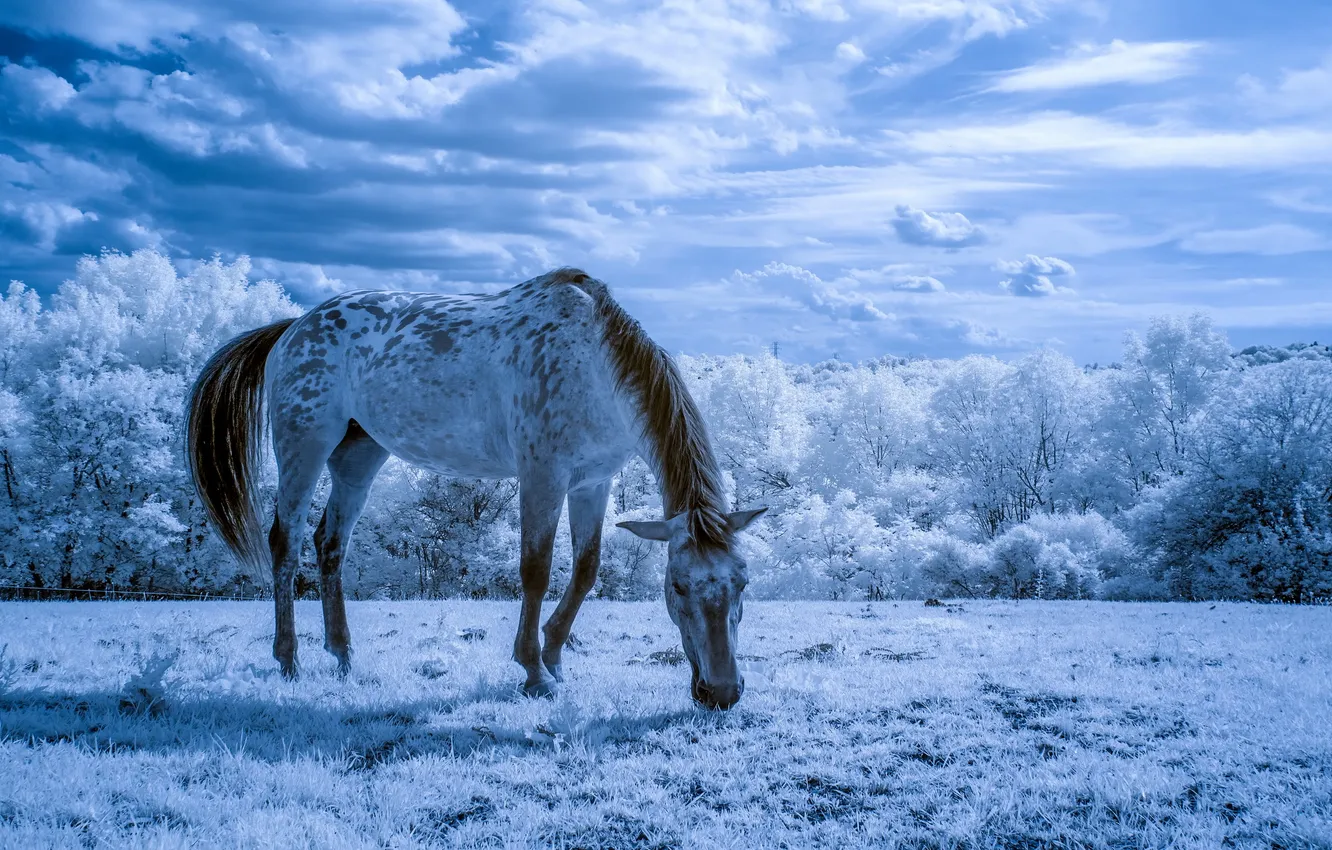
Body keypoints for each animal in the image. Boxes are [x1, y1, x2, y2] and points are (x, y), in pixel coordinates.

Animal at [186, 267, 766, 709]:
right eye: (678, 587)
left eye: (742, 584)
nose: (721, 692)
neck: (595, 364)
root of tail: (293, 328)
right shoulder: (542, 477)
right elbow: (535, 571)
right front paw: (533, 671)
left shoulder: (592, 483)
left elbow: (585, 571)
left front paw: (554, 656)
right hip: (303, 448)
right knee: (284, 543)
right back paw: (289, 659)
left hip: (358, 456)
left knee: (330, 544)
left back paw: (343, 655)